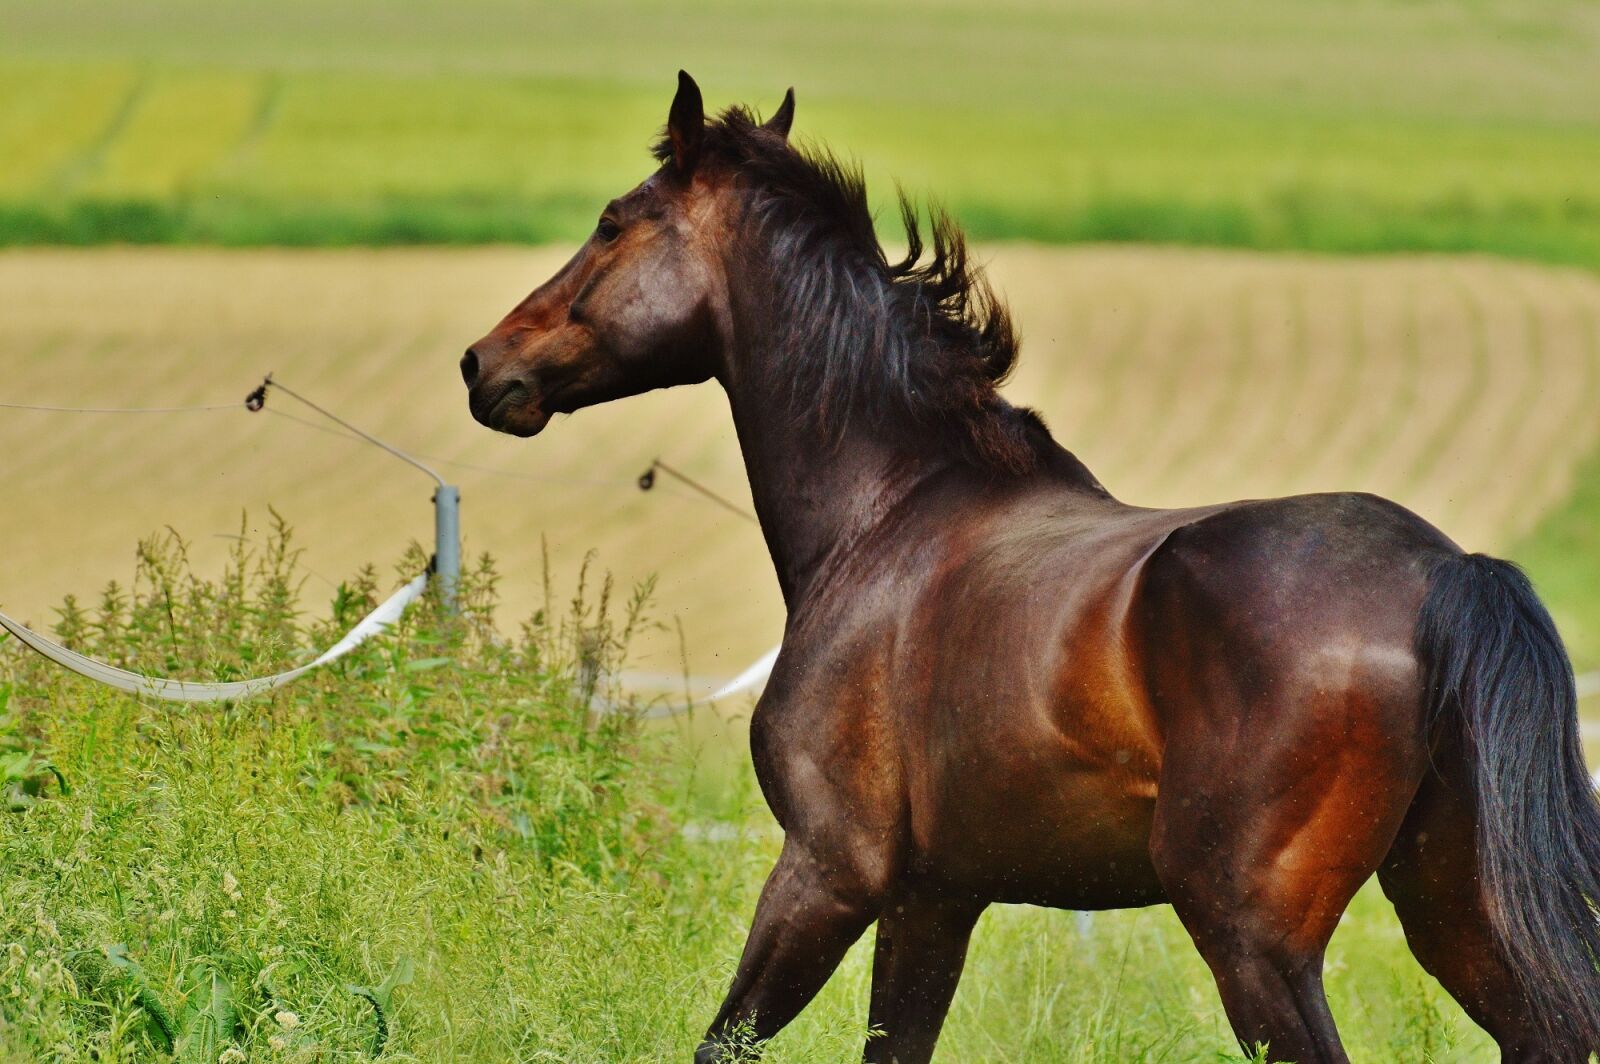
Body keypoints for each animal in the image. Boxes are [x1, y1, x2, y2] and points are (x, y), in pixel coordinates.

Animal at [460, 72, 1600, 1063]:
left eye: (615, 221)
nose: (485, 363)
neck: (890, 514)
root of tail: (1447, 573)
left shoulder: (827, 869)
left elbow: (723, 1041)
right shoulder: (932, 898)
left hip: (1255, 940)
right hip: (1450, 903)